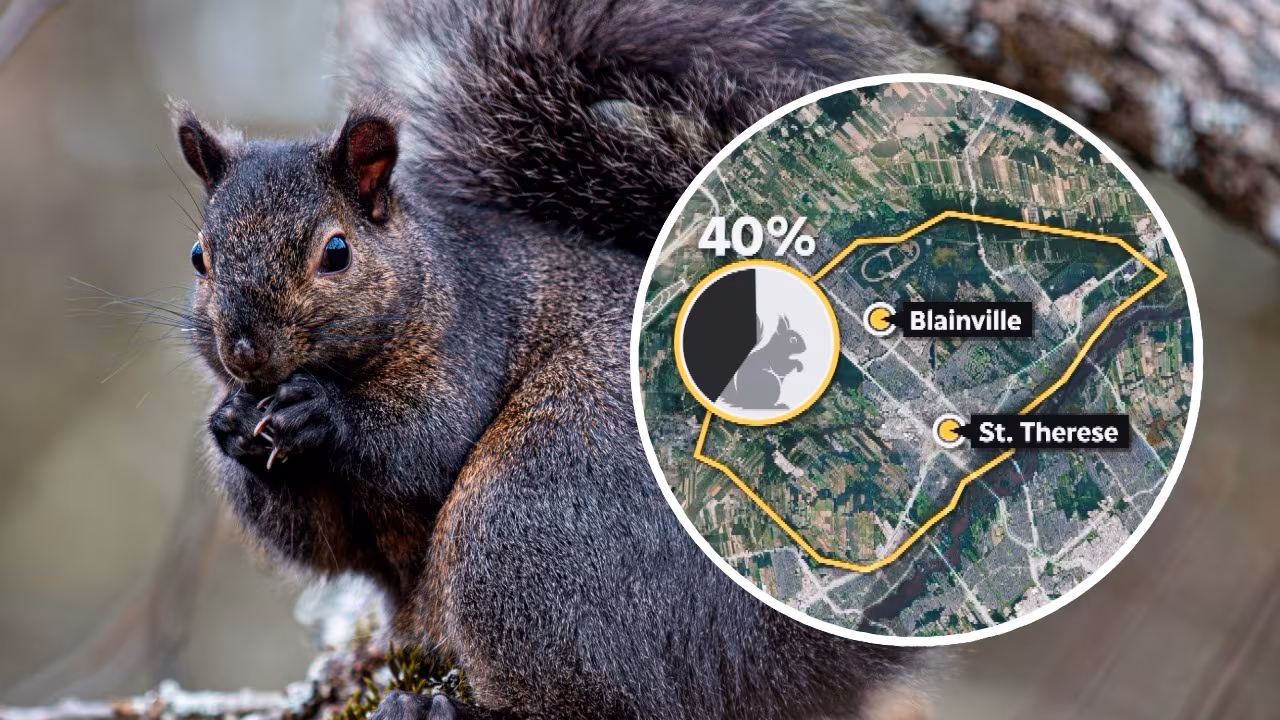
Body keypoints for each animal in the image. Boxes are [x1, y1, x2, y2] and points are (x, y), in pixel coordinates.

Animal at [171, 1, 933, 718]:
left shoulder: (474, 333)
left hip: (531, 519)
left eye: (336, 252)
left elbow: (426, 444)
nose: (244, 351)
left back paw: (441, 707)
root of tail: (790, 667)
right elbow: (320, 541)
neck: (426, 276)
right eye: (199, 257)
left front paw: (322, 412)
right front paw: (231, 425)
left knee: (611, 701)